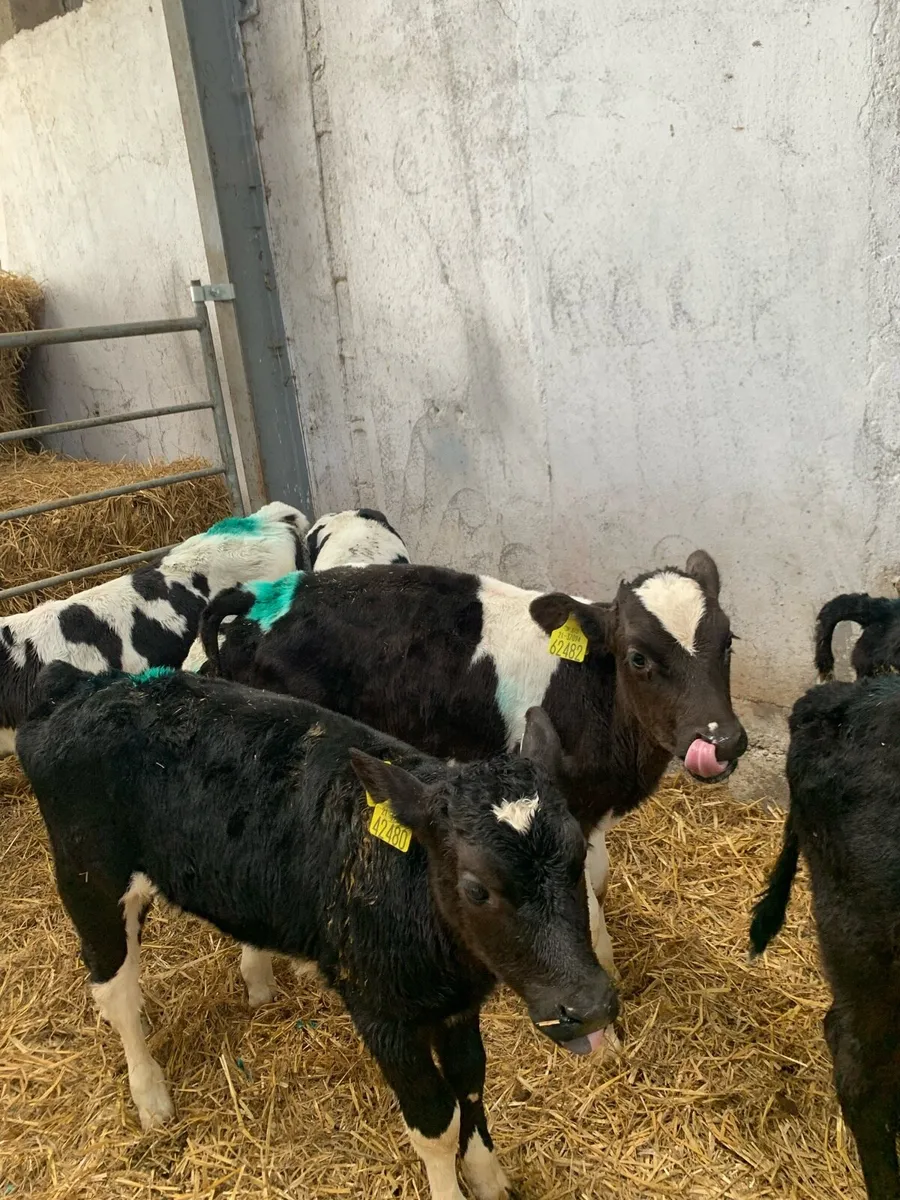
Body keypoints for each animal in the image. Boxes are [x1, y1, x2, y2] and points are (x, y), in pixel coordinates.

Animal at [17, 663, 617, 1200]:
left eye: (575, 857)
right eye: (476, 888)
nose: (588, 1005)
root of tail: (84, 687)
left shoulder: (455, 1006)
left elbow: (470, 1086)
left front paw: (490, 1178)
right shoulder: (382, 1013)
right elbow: (435, 1124)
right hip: (88, 879)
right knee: (115, 988)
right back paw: (150, 1095)